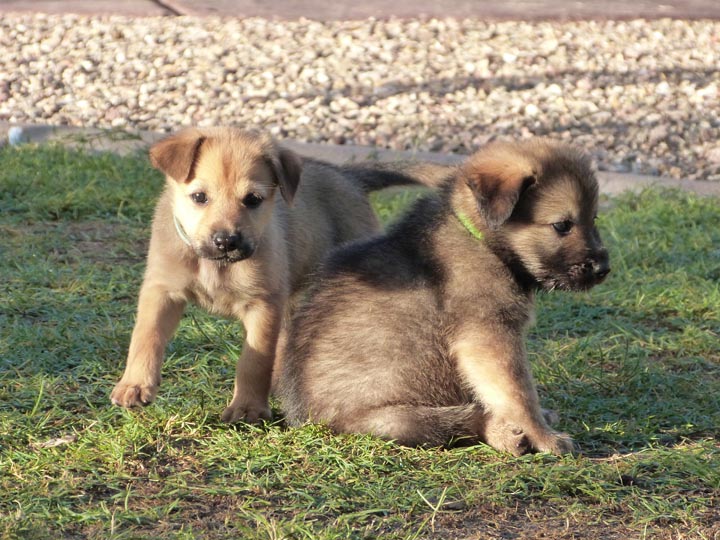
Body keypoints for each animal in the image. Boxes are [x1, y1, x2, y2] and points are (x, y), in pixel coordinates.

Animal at [109, 125, 448, 422]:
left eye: (253, 200)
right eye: (199, 197)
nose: (226, 241)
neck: (216, 266)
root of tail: (347, 176)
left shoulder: (264, 305)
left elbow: (254, 360)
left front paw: (247, 408)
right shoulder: (161, 291)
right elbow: (146, 336)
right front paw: (135, 384)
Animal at [278, 137, 612, 454]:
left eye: (594, 218)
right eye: (562, 225)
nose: (603, 269)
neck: (481, 239)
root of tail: (302, 417)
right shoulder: (488, 335)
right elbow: (518, 394)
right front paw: (545, 437)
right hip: (395, 419)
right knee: (462, 419)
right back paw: (505, 435)